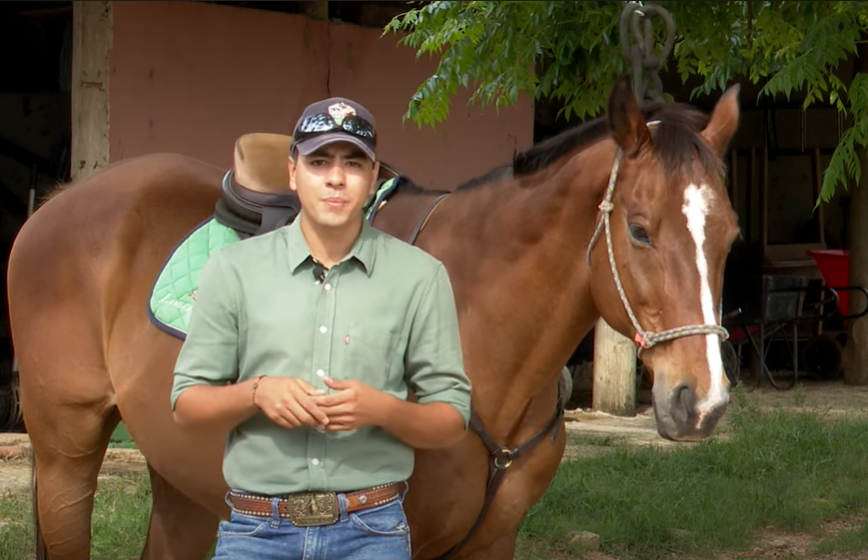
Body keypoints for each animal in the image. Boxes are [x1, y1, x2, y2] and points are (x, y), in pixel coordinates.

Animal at [6, 77, 740, 560]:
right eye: (640, 231)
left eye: (730, 235)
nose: (699, 402)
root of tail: (60, 201)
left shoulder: (492, 540)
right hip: (66, 453)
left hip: (180, 475)